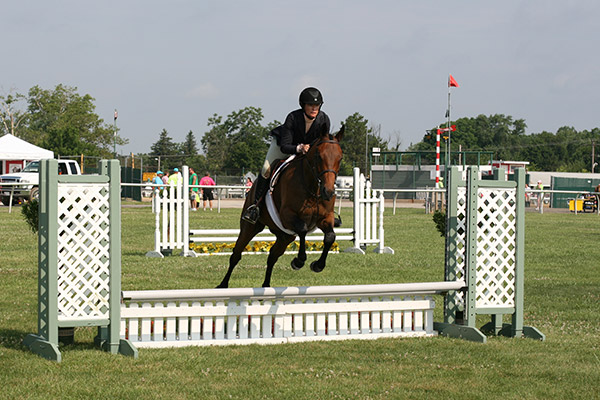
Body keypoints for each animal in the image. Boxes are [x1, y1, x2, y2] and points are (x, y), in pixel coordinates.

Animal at [218, 125, 344, 288]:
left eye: (340, 158)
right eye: (319, 156)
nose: (328, 192)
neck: (313, 188)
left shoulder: (325, 218)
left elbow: (330, 236)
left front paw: (317, 265)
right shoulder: (288, 216)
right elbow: (303, 229)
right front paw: (298, 261)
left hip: (285, 236)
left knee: (272, 256)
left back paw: (266, 286)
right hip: (251, 227)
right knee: (236, 254)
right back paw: (222, 285)